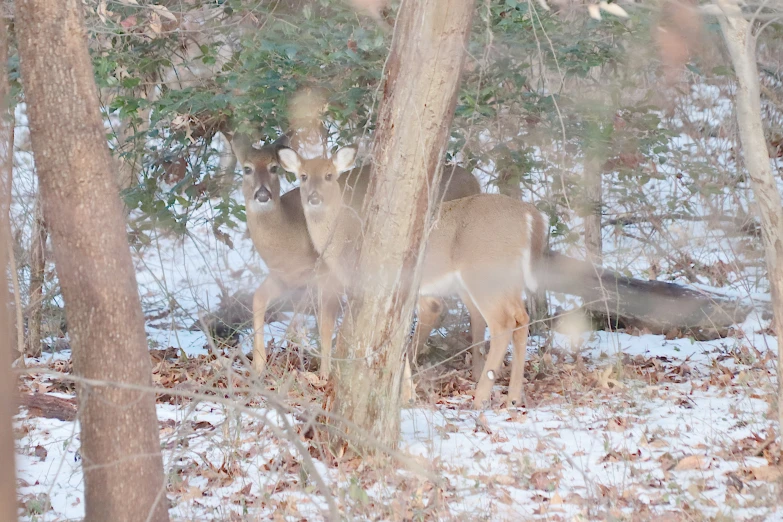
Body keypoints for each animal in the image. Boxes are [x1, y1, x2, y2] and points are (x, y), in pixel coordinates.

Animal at [278, 146, 548, 406]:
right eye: (303, 176)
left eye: (329, 175)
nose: (314, 198)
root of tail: (531, 217)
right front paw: (407, 394)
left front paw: (405, 395)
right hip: (508, 280)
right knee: (521, 318)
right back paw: (513, 397)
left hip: (484, 275)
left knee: (503, 323)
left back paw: (480, 398)